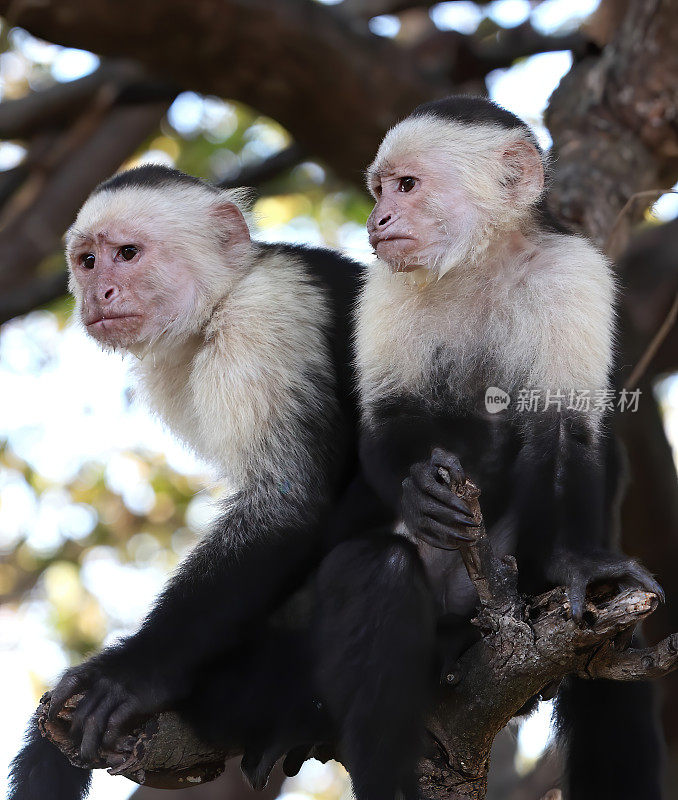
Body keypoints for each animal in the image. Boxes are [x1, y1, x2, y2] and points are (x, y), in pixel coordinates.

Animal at [7, 164, 364, 800]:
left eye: (127, 254)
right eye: (88, 261)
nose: (99, 293)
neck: (220, 301)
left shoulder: (266, 316)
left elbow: (285, 505)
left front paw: (131, 675)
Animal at [300, 95, 668, 800]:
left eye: (406, 186)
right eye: (380, 189)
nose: (378, 219)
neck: (481, 263)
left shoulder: (571, 272)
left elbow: (566, 430)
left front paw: (581, 564)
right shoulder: (386, 285)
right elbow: (386, 424)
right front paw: (420, 489)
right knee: (379, 572)